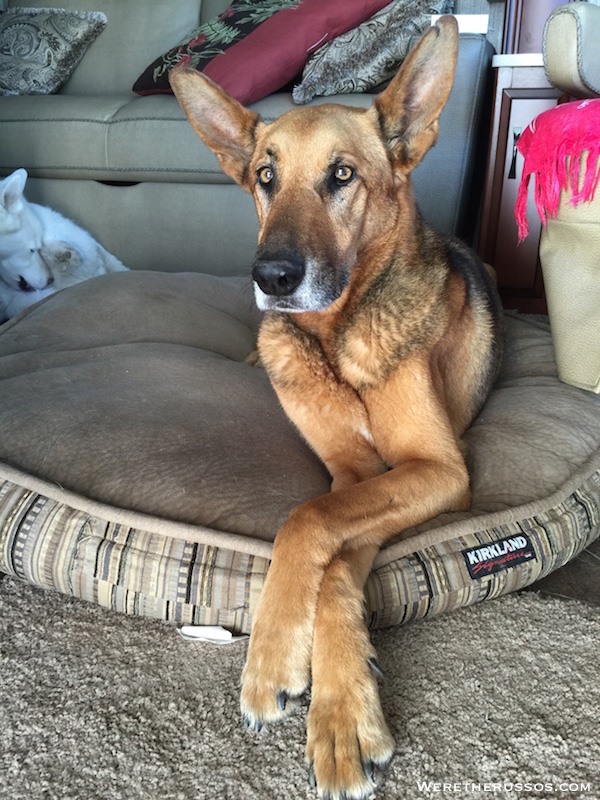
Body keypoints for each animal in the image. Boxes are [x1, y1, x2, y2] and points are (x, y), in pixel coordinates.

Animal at [171, 18, 504, 800]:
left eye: (342, 176)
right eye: (266, 177)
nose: (271, 278)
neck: (336, 337)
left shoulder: (434, 470)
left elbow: (314, 527)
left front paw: (302, 681)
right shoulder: (353, 471)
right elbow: (320, 530)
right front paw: (308, 674)